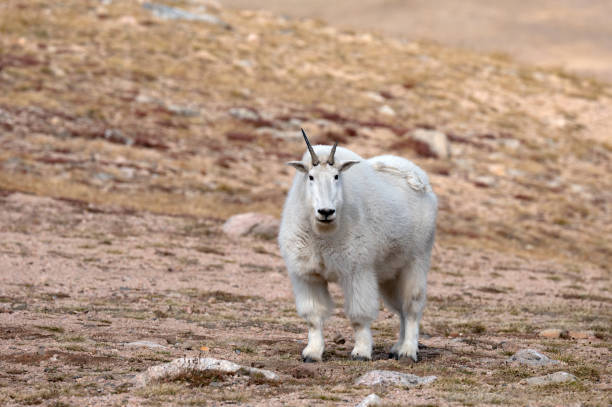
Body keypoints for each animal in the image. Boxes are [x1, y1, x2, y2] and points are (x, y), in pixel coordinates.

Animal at [280, 129, 438, 362]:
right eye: (310, 176)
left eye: (337, 176)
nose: (326, 212)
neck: (323, 235)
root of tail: (421, 179)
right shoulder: (307, 275)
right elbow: (314, 315)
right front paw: (312, 353)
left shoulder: (357, 270)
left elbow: (359, 315)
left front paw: (361, 352)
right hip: (390, 273)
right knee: (399, 308)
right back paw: (396, 348)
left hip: (417, 259)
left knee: (411, 307)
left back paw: (408, 351)